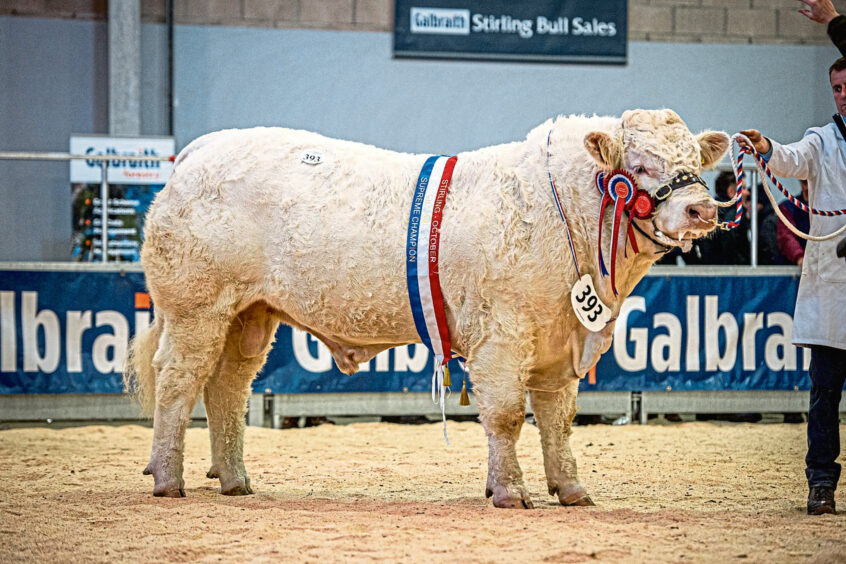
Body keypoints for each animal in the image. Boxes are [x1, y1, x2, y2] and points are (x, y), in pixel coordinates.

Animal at [124, 110, 728, 512]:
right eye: (641, 165)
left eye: (695, 161)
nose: (704, 209)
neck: (563, 213)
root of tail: (198, 153)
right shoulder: (503, 334)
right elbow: (507, 415)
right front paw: (510, 491)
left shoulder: (560, 338)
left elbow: (557, 419)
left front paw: (571, 489)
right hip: (197, 307)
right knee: (178, 382)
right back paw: (169, 479)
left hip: (250, 314)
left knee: (227, 388)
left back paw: (234, 479)